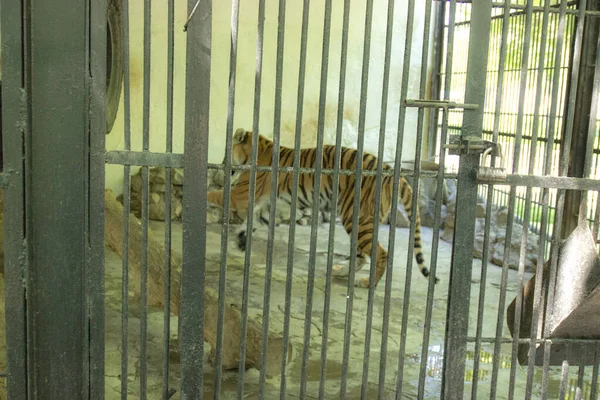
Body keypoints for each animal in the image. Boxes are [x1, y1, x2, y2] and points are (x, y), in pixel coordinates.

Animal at [206, 128, 436, 288]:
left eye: (226, 152)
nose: (221, 166)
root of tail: (389, 171)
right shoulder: (277, 204)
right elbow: (256, 219)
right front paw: (242, 238)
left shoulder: (240, 195)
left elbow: (216, 195)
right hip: (359, 220)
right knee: (361, 254)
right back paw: (341, 271)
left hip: (358, 218)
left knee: (381, 254)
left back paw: (366, 283)